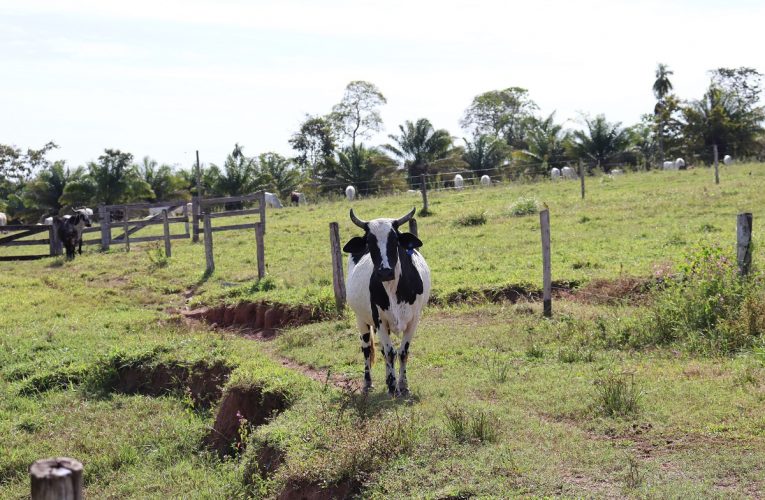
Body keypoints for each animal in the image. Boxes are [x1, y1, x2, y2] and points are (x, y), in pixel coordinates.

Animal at [344, 209, 432, 396]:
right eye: (370, 242)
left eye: (394, 240)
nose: (385, 272)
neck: (393, 288)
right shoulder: (380, 321)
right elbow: (390, 352)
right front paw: (392, 387)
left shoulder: (414, 319)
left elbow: (403, 352)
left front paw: (403, 385)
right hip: (361, 319)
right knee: (367, 349)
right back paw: (367, 383)